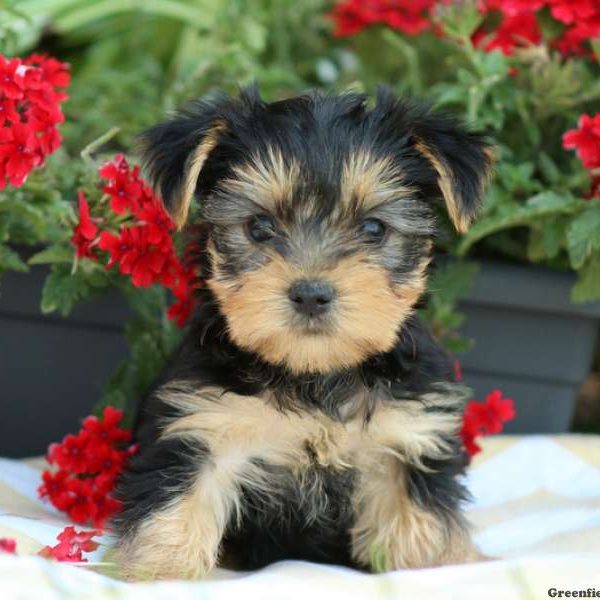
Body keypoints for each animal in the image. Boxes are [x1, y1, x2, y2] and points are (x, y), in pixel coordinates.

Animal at [112, 86, 492, 580]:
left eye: (373, 228)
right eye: (259, 226)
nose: (311, 293)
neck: (314, 374)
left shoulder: (407, 438)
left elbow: (417, 526)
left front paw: (432, 565)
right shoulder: (202, 423)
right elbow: (177, 504)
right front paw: (160, 572)